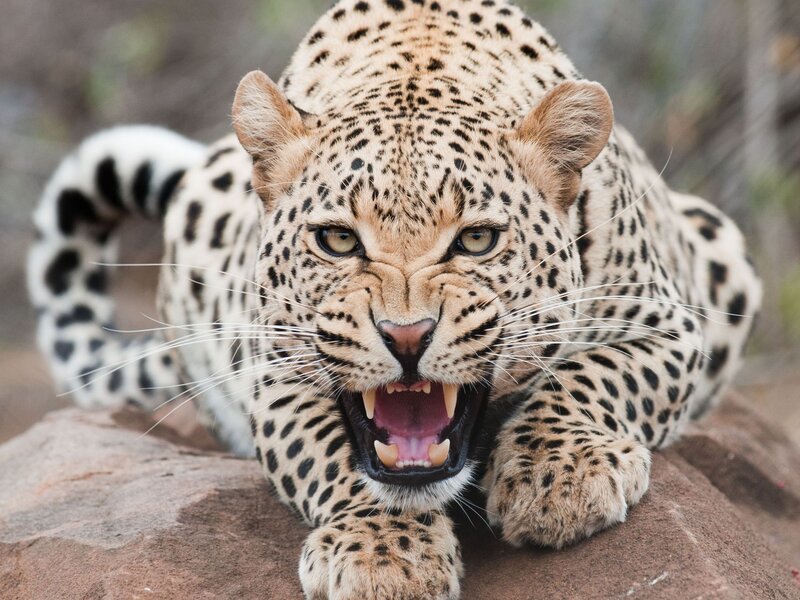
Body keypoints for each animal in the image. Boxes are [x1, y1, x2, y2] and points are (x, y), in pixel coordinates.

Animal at [29, 0, 762, 598]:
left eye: (476, 240)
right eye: (336, 239)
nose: (406, 337)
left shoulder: (669, 324)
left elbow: (594, 374)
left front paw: (558, 478)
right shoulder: (276, 371)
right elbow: (332, 456)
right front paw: (383, 554)